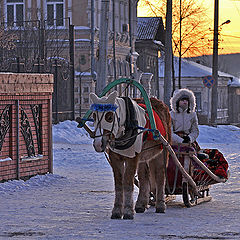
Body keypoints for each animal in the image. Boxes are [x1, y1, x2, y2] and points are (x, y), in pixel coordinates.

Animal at [89, 91, 172, 219]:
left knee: (160, 176)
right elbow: (119, 184)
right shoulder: (115, 158)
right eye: (93, 116)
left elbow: (128, 182)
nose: (98, 143)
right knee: (144, 177)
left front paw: (128, 211)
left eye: (109, 117)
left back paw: (160, 205)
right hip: (144, 157)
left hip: (162, 152)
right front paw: (117, 211)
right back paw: (141, 204)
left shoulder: (132, 157)